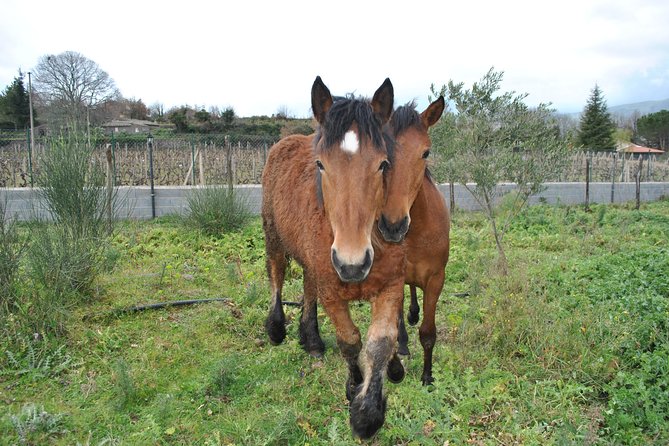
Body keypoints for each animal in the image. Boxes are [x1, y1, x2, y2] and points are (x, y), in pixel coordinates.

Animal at [262, 77, 404, 440]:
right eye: (321, 164)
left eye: (383, 164)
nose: (352, 264)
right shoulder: (332, 290)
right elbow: (350, 340)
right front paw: (354, 388)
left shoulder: (391, 287)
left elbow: (380, 343)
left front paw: (369, 413)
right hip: (273, 237)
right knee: (277, 275)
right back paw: (277, 328)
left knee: (307, 284)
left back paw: (310, 339)